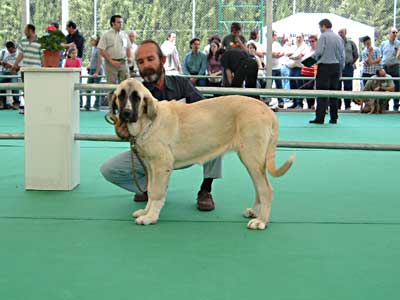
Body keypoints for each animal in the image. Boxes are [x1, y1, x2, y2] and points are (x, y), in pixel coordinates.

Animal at [108, 78, 296, 229]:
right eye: (121, 96)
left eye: (136, 97)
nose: (126, 113)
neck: (148, 122)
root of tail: (267, 110)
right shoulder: (150, 167)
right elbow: (150, 190)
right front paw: (145, 212)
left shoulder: (161, 166)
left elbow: (156, 193)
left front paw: (150, 218)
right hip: (252, 161)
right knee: (259, 188)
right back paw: (255, 212)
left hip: (252, 158)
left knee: (266, 190)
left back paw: (261, 221)